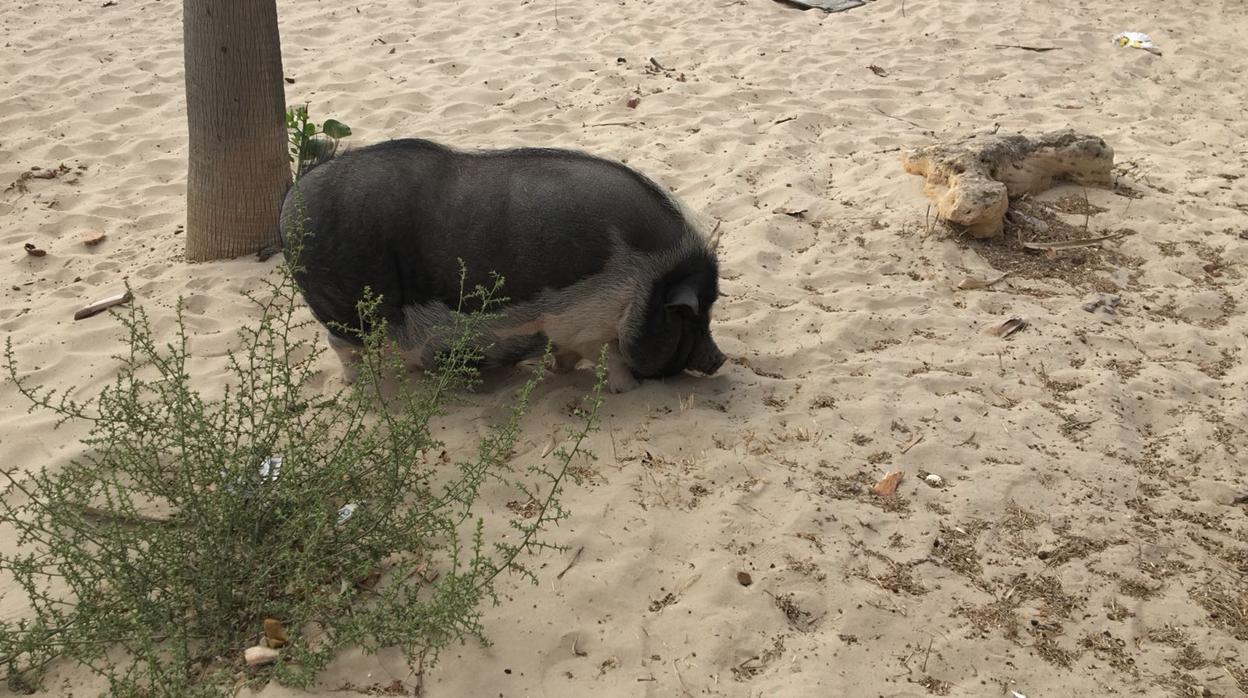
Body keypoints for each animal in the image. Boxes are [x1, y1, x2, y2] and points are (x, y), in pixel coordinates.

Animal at [273, 139, 723, 394]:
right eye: (693, 315)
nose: (719, 359)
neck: (649, 282)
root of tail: (293, 199)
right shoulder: (589, 326)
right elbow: (611, 359)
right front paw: (625, 391)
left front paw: (558, 373)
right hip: (343, 311)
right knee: (342, 346)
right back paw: (355, 387)